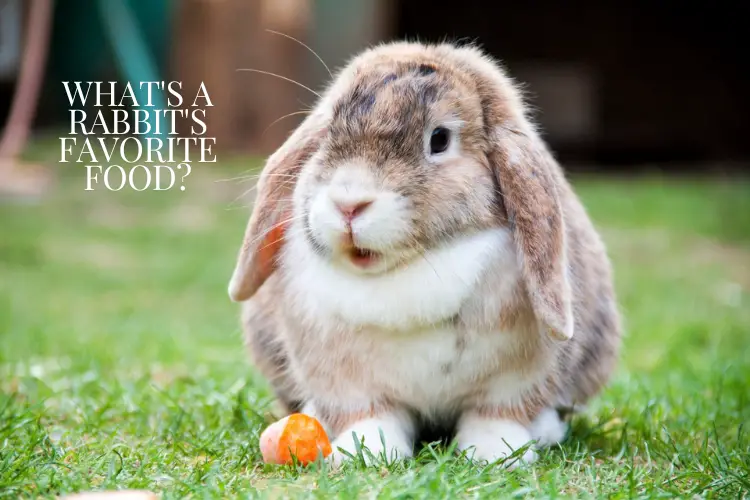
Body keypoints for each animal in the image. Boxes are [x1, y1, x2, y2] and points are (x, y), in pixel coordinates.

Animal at [229, 41, 624, 466]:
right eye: (329, 131)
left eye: (439, 139)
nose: (349, 204)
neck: (411, 269)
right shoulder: (345, 381)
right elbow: (371, 416)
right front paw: (365, 452)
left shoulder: (515, 379)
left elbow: (496, 414)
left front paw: (494, 454)